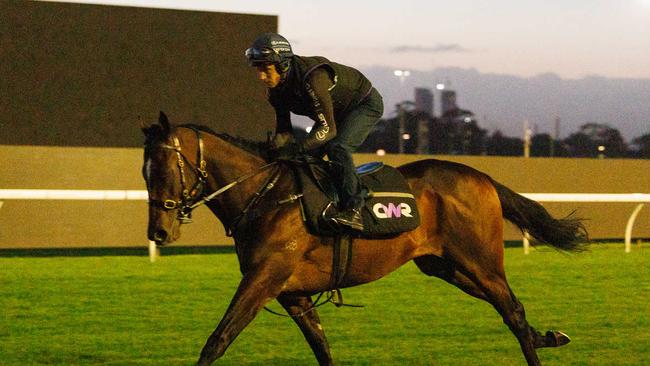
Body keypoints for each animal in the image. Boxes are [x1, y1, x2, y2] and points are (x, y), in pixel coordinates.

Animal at [142, 112, 588, 366]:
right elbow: (321, 347)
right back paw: (549, 336)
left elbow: (217, 341)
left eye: (163, 168)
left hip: (480, 261)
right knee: (511, 309)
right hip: (445, 266)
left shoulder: (264, 278)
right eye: (144, 172)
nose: (158, 232)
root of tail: (482, 177)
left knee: (512, 310)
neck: (266, 194)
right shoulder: (293, 293)